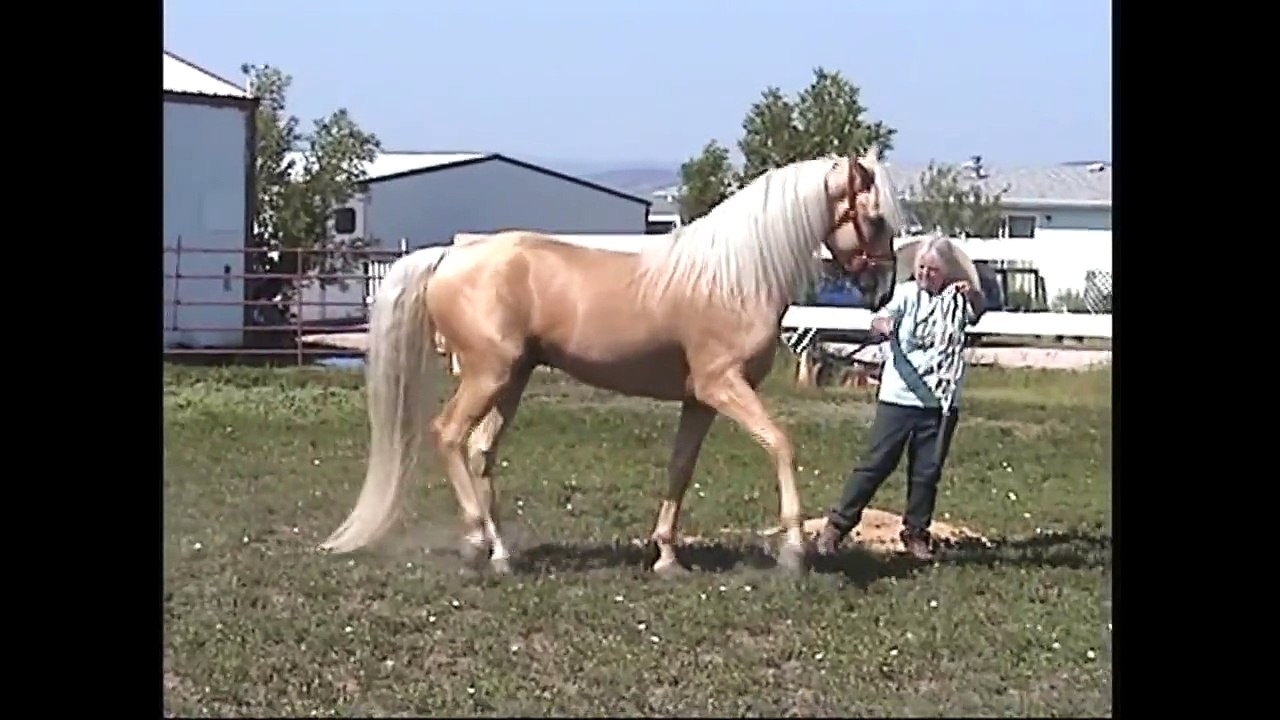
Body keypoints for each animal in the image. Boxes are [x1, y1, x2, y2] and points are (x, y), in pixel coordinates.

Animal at [317, 147, 906, 576]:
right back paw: (476, 539)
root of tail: (449, 256)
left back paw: (500, 552)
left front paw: (666, 556)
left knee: (481, 450)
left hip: (511, 379)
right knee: (450, 436)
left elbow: (680, 469)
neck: (734, 276)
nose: (882, 291)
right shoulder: (723, 386)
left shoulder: (699, 400)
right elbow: (780, 444)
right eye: (875, 218)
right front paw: (793, 552)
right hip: (488, 375)